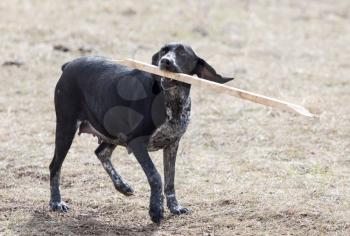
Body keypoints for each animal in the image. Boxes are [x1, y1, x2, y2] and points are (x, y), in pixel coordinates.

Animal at [49, 42, 234, 223]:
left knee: (101, 153)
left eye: (182, 53)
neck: (171, 100)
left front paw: (175, 207)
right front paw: (156, 210)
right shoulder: (137, 142)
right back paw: (56, 203)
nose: (165, 61)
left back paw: (122, 186)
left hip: (113, 132)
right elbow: (155, 176)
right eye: (163, 51)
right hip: (66, 128)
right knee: (55, 166)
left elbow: (170, 179)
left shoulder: (172, 144)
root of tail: (69, 64)